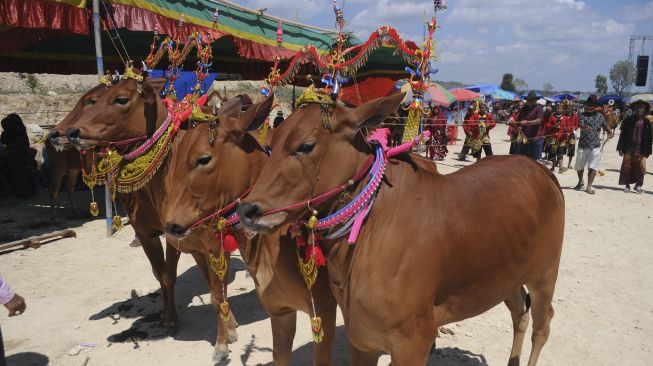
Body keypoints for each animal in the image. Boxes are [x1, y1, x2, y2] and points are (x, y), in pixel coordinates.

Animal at [48, 78, 241, 362]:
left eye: (119, 99)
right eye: (94, 98)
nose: (64, 133)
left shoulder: (182, 237)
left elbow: (179, 276)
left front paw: (223, 334)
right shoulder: (149, 234)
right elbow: (162, 275)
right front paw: (169, 316)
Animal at [239, 93, 564, 364]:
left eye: (306, 146)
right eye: (271, 144)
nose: (247, 211)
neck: (368, 225)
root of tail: (541, 171)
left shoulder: (414, 342)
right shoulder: (362, 339)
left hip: (545, 275)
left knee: (543, 323)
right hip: (507, 275)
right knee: (519, 313)